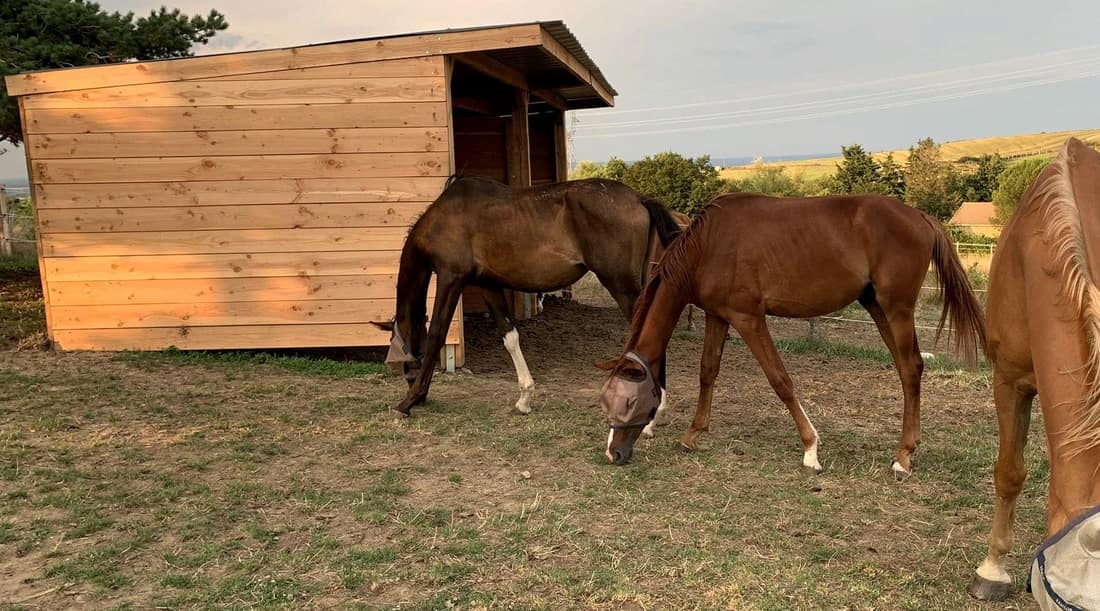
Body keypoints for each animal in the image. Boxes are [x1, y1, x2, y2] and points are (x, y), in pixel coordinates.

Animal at [379, 175, 682, 417]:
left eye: (403, 366)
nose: (415, 390)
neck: (445, 216)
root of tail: (639, 198)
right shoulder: (488, 284)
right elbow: (509, 336)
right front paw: (525, 397)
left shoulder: (451, 277)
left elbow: (436, 334)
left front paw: (408, 401)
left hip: (621, 285)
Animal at [596, 191, 986, 475]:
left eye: (628, 403)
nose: (613, 454)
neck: (709, 245)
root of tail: (920, 217)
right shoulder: (717, 316)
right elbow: (708, 371)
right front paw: (692, 435)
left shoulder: (749, 318)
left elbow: (779, 379)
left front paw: (811, 449)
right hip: (877, 307)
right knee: (911, 368)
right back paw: (908, 450)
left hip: (897, 309)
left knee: (909, 369)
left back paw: (903, 458)